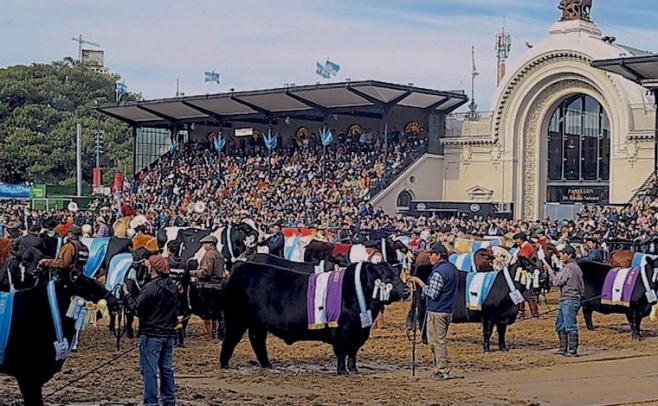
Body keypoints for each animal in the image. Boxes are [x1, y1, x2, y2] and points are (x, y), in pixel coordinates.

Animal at [218, 262, 408, 372]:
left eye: (397, 274)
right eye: (385, 277)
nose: (406, 290)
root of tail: (238, 271)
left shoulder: (360, 332)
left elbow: (353, 352)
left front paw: (354, 370)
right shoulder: (342, 329)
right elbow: (341, 351)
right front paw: (342, 371)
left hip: (257, 323)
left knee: (257, 340)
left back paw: (267, 365)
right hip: (236, 318)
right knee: (231, 339)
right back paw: (224, 365)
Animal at [404, 256, 544, 352]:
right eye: (528, 266)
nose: (542, 276)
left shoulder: (502, 317)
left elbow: (502, 333)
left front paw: (503, 347)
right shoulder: (488, 315)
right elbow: (487, 332)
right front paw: (486, 349)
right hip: (423, 308)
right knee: (421, 321)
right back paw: (425, 341)